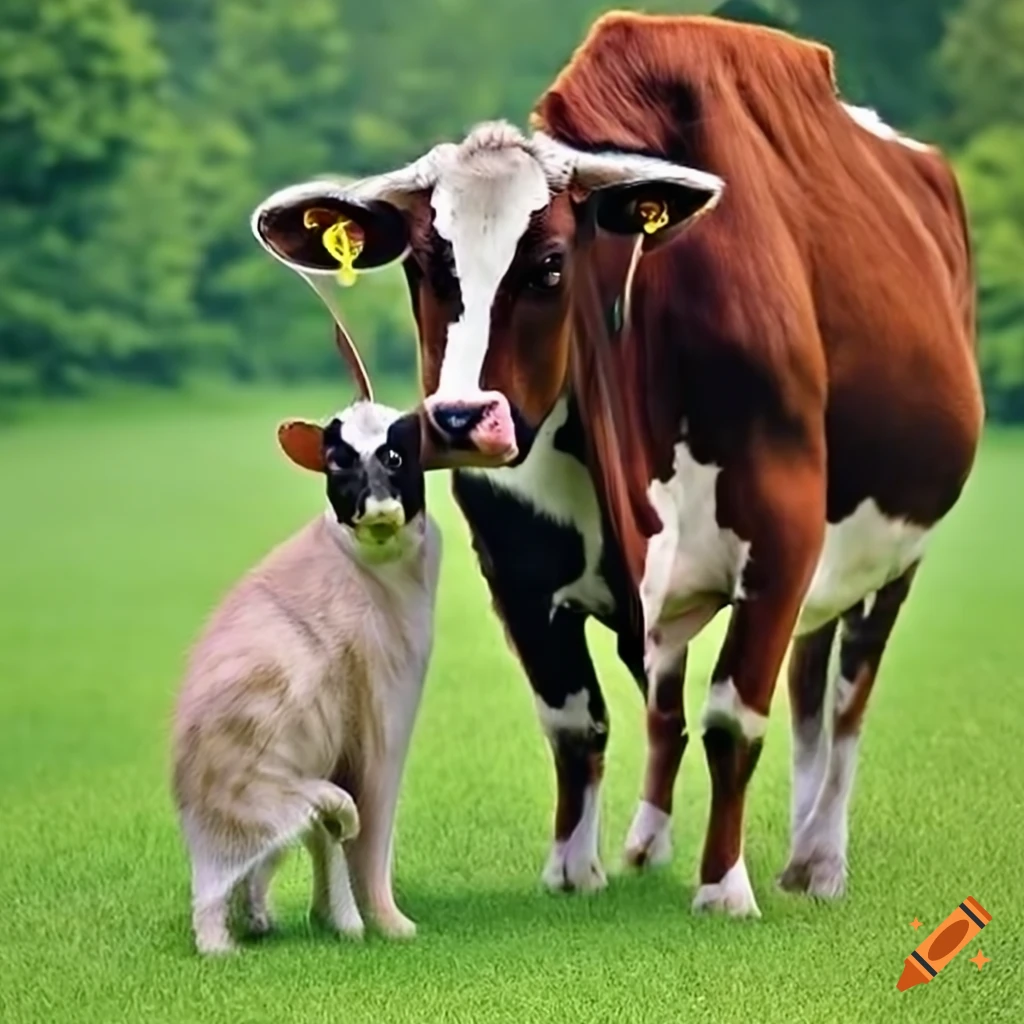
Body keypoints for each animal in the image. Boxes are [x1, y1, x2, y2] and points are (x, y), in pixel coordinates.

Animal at [251, 13, 983, 916]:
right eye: (422, 265)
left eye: (550, 265)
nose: (460, 419)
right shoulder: (516, 563)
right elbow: (577, 720)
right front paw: (574, 868)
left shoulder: (783, 535)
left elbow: (734, 718)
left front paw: (724, 886)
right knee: (736, 693)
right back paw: (668, 843)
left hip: (895, 554)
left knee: (845, 696)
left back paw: (819, 858)